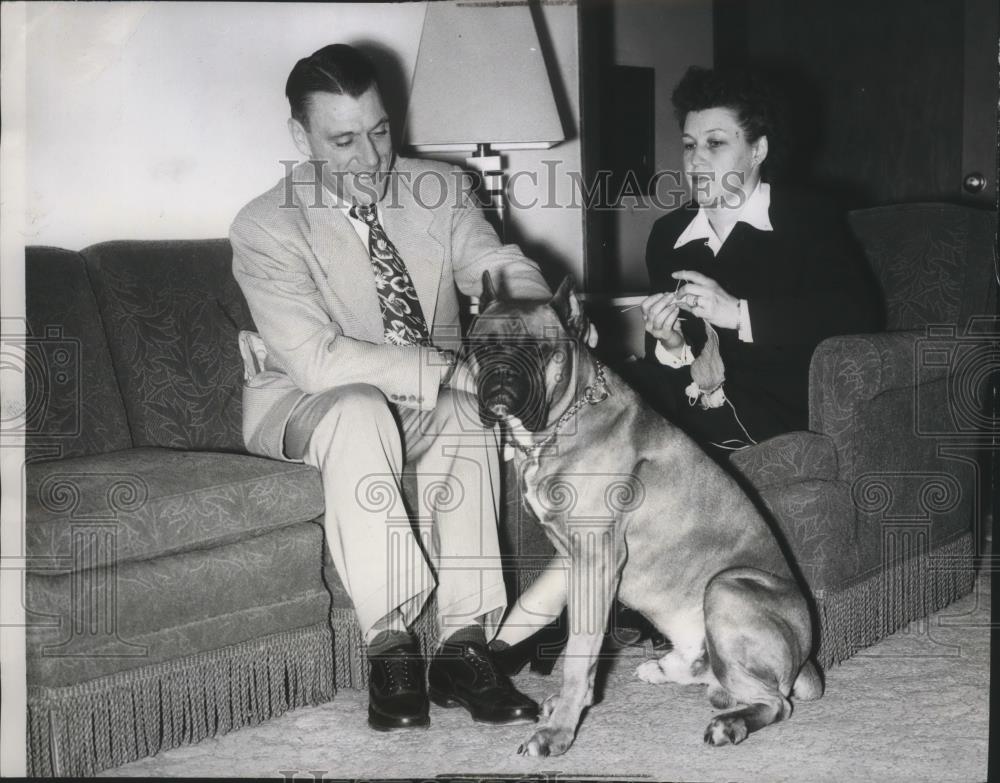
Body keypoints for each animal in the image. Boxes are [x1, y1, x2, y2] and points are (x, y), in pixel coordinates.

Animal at [464, 276, 824, 760]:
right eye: (481, 345)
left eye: (540, 349)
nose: (501, 374)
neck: (564, 420)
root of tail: (807, 657)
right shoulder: (572, 560)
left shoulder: (596, 560)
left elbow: (578, 655)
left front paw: (557, 731)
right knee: (723, 678)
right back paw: (673, 673)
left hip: (726, 586)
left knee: (775, 702)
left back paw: (729, 724)